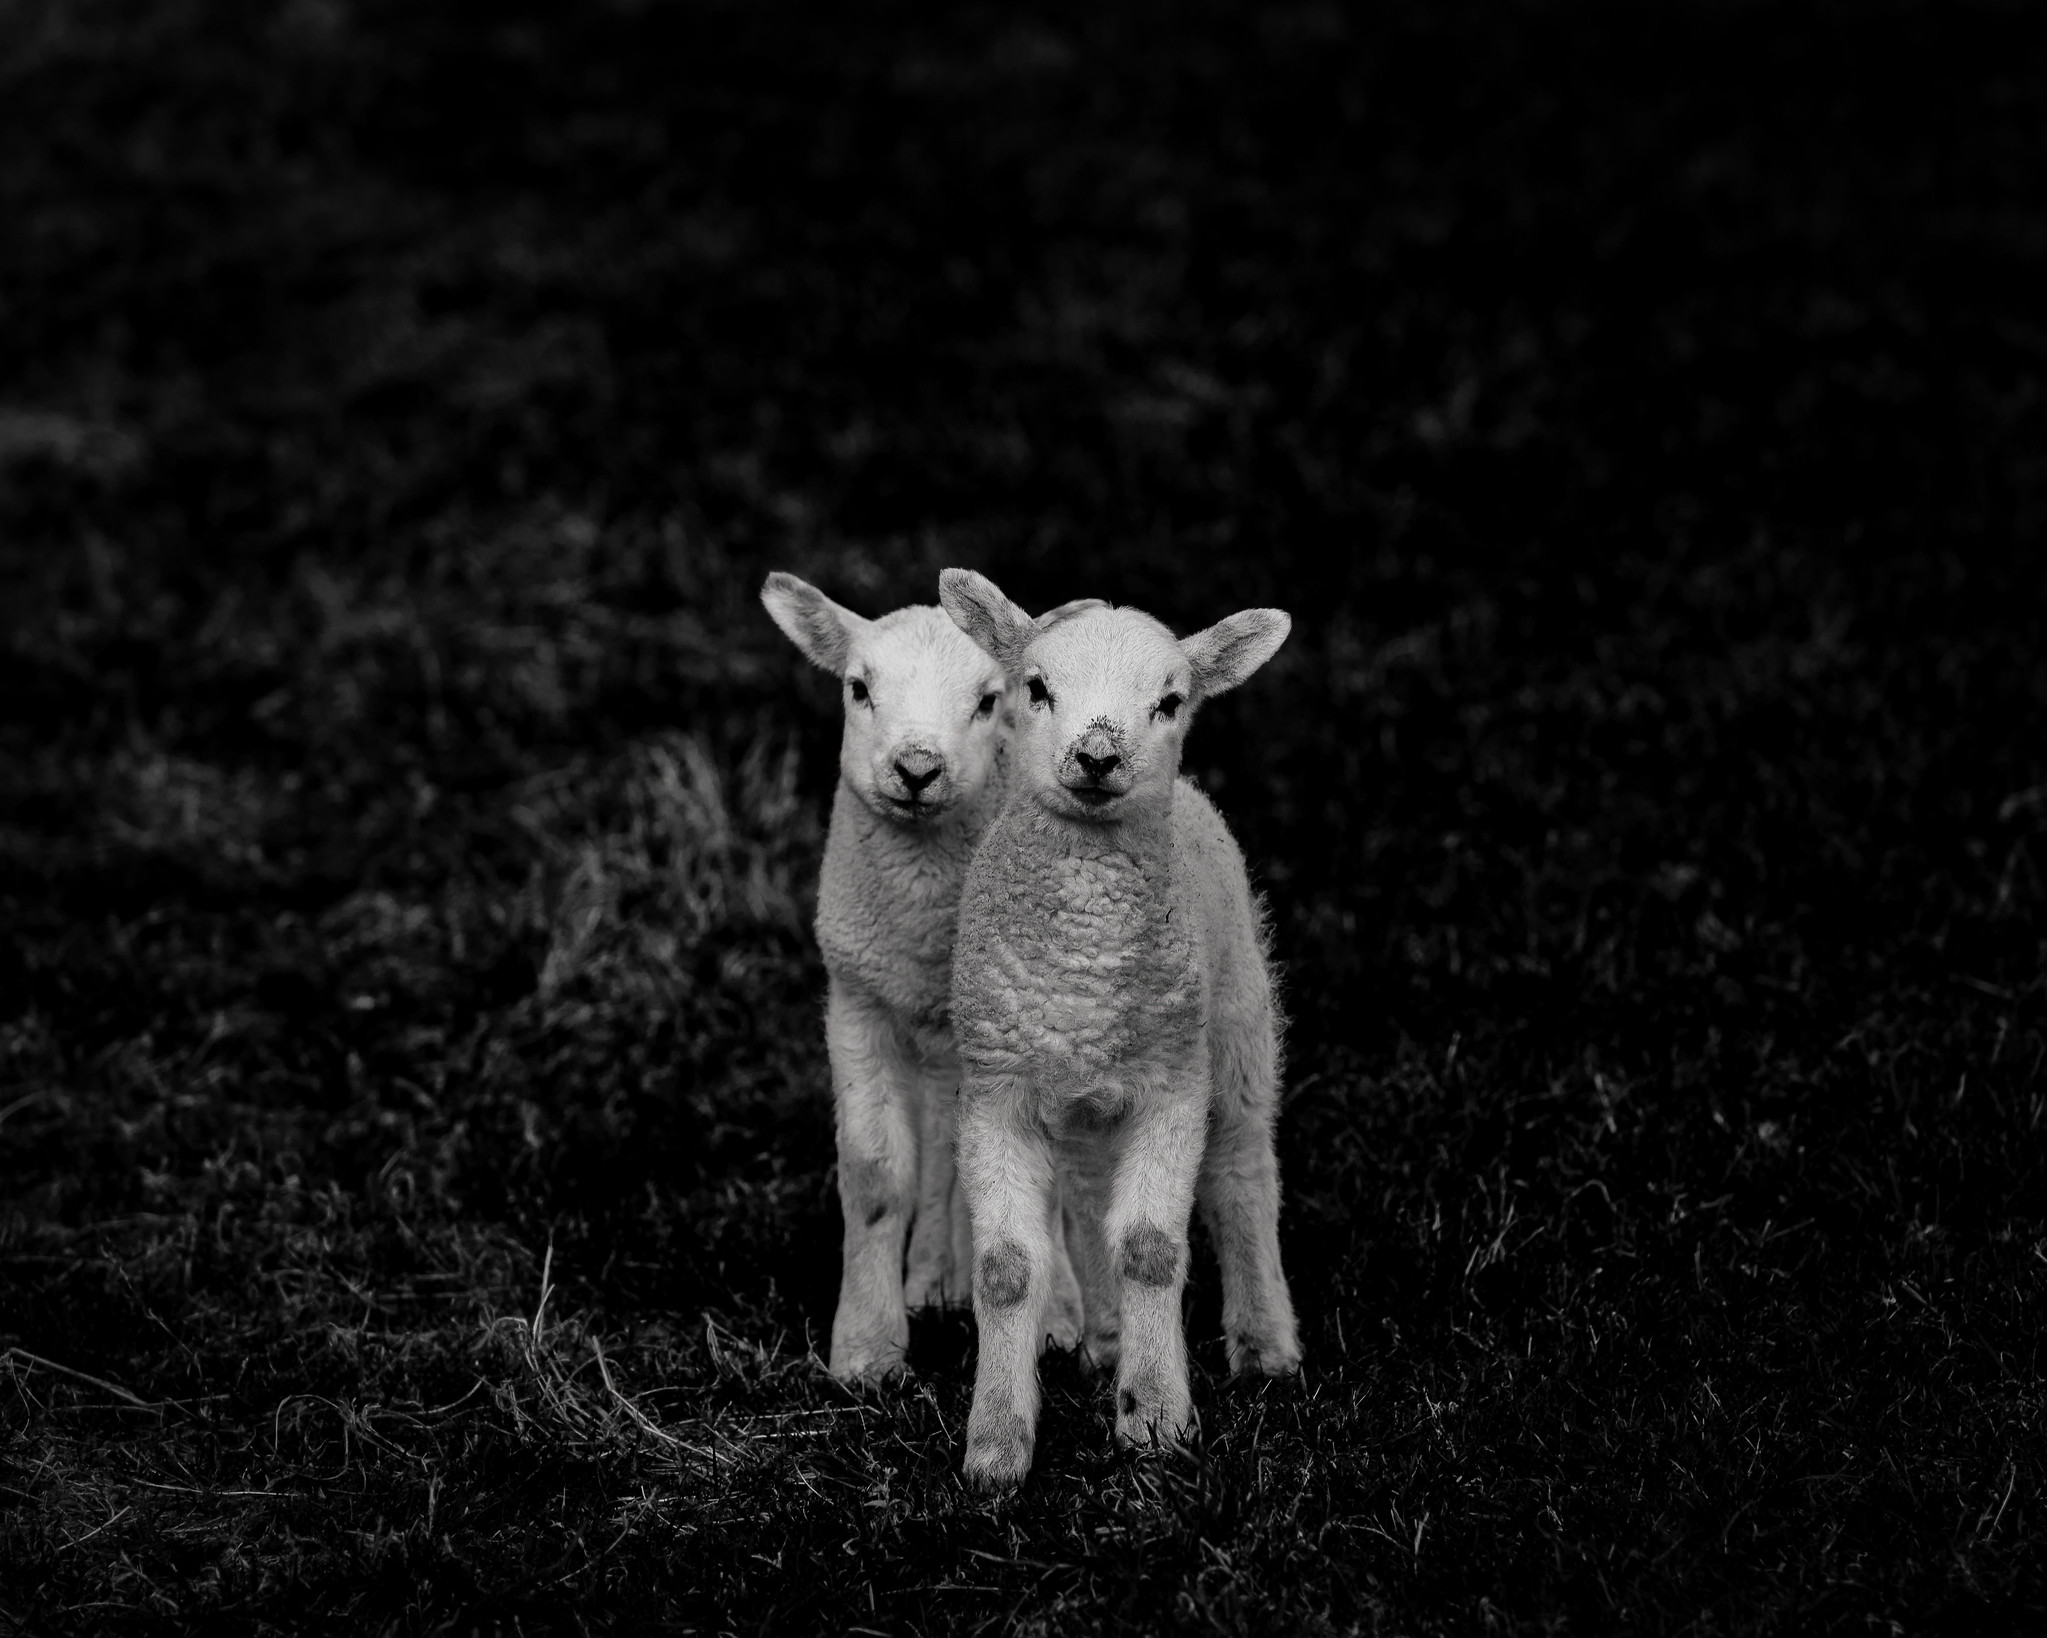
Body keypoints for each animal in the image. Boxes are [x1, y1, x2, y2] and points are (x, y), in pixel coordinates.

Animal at [760, 571, 1093, 1382]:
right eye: (858, 688)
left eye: (989, 701)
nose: (916, 770)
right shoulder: (857, 1001)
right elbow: (880, 1175)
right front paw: (867, 1347)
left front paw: (1052, 1322)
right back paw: (935, 1281)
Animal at [937, 567, 1303, 1490]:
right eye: (1035, 688)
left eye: (1169, 701)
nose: (1098, 757)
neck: (1083, 970)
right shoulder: (996, 1091)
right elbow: (1006, 1270)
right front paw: (997, 1446)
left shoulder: (1171, 1086)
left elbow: (1149, 1247)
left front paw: (1156, 1420)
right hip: (1084, 1100)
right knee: (1087, 1192)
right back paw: (1105, 1340)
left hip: (1235, 1029)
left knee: (1242, 1173)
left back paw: (1264, 1344)